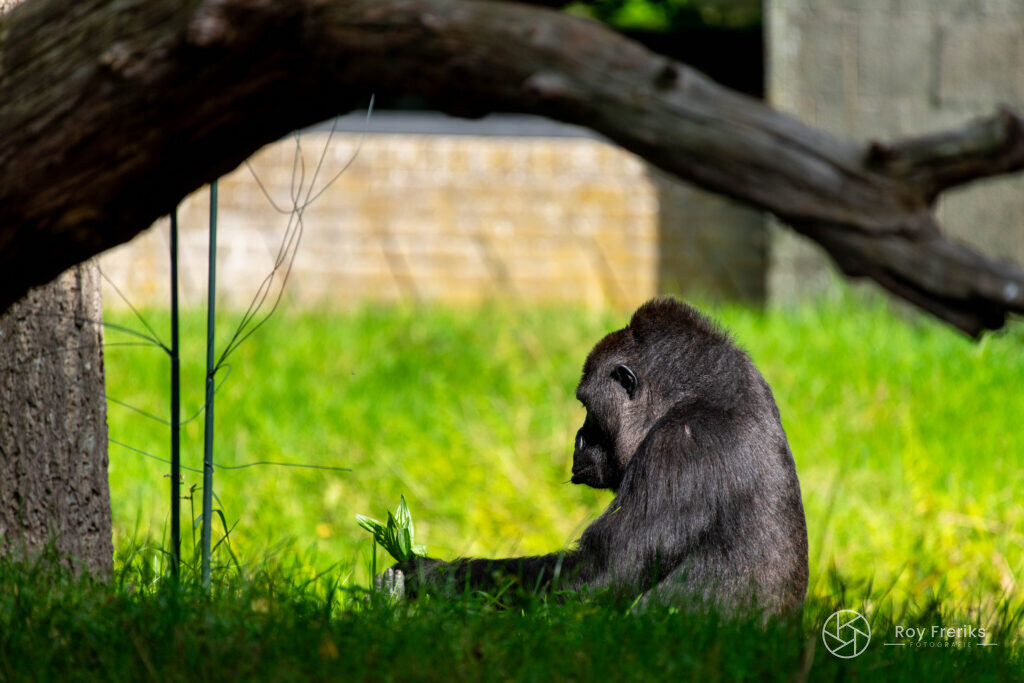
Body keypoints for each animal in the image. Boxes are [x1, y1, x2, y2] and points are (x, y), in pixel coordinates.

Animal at [396, 297, 808, 613]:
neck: (700, 395)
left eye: (586, 405)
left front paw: (430, 575)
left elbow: (596, 576)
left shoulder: (677, 448)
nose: (578, 439)